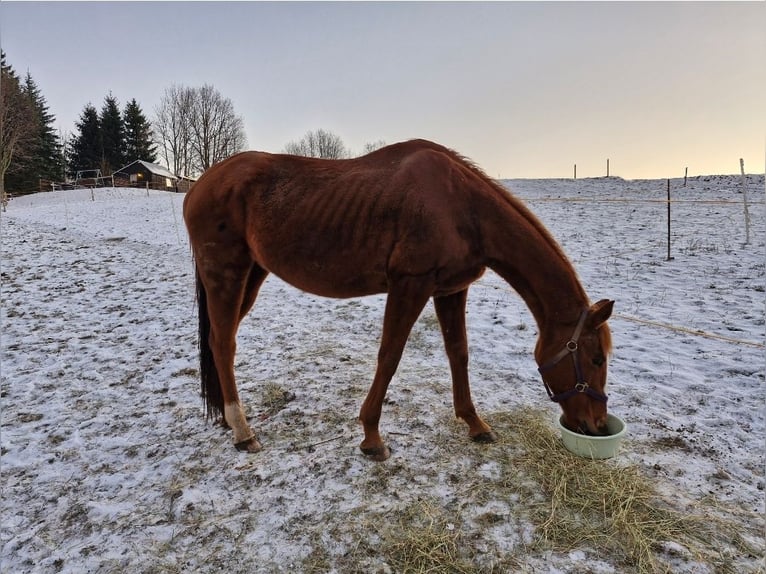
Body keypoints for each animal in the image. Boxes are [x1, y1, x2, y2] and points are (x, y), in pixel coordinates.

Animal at [183, 139, 614, 460]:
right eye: (596, 358)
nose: (596, 425)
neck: (461, 207)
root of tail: (200, 184)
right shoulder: (410, 285)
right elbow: (389, 355)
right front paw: (372, 437)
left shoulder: (450, 290)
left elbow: (458, 353)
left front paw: (475, 424)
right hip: (227, 274)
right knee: (223, 343)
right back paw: (243, 431)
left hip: (252, 274)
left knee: (217, 342)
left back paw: (226, 418)